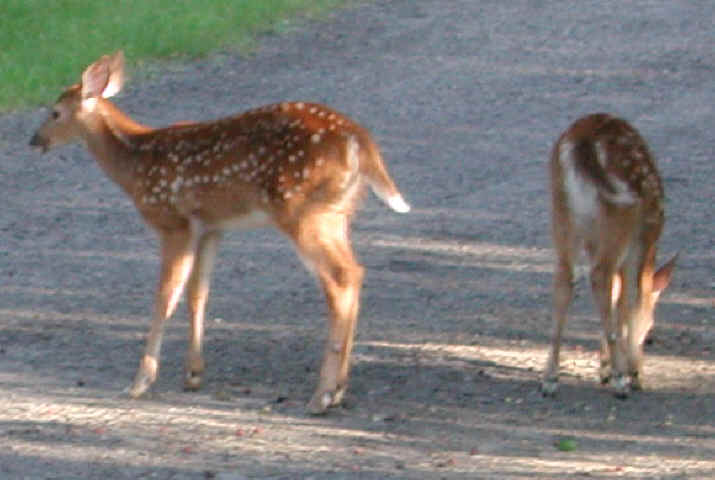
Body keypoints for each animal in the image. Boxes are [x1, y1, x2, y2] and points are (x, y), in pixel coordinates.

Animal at [29, 51, 410, 414]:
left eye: (55, 112)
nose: (34, 140)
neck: (135, 161)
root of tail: (360, 141)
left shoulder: (174, 222)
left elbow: (165, 296)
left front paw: (140, 381)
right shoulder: (211, 228)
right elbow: (198, 292)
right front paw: (193, 373)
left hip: (303, 210)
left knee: (340, 277)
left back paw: (322, 396)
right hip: (336, 212)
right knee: (356, 272)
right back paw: (339, 389)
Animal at [541, 113, 677, 398]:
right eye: (651, 327)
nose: (636, 371)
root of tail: (583, 140)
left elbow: (618, 298)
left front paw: (605, 367)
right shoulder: (639, 243)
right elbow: (628, 302)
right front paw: (628, 372)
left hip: (561, 211)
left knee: (564, 279)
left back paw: (549, 379)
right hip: (619, 214)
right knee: (600, 278)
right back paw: (619, 382)